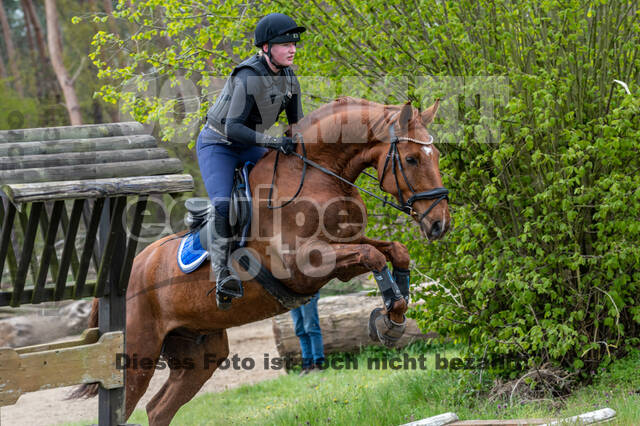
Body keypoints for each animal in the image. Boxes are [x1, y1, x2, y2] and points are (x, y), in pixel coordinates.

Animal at [71, 96, 450, 426]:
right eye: (412, 159)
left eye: (436, 155)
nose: (440, 224)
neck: (318, 175)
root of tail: (128, 270)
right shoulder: (304, 264)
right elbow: (373, 256)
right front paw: (389, 316)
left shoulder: (344, 250)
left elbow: (393, 251)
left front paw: (395, 314)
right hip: (137, 355)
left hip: (199, 353)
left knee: (159, 408)